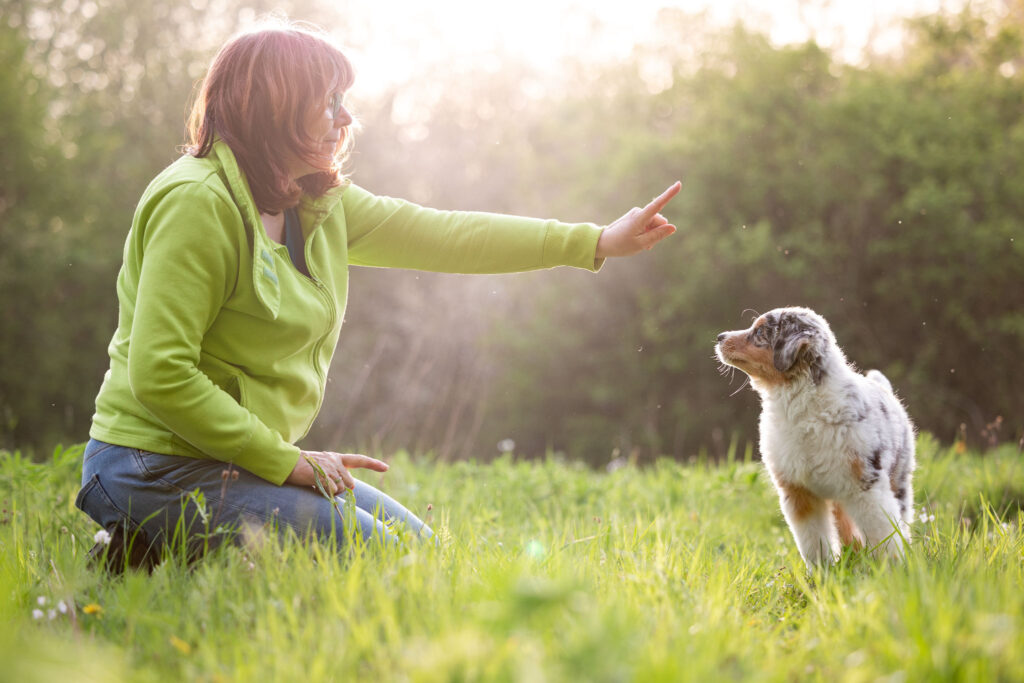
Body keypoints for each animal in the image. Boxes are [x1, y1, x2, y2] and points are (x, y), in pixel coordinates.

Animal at [716, 307, 917, 569]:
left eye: (759, 332)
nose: (720, 337)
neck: (800, 405)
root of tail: (884, 388)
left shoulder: (867, 487)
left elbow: (884, 533)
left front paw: (892, 569)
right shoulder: (799, 492)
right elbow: (813, 541)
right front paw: (823, 573)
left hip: (897, 480)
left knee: (901, 520)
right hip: (839, 499)